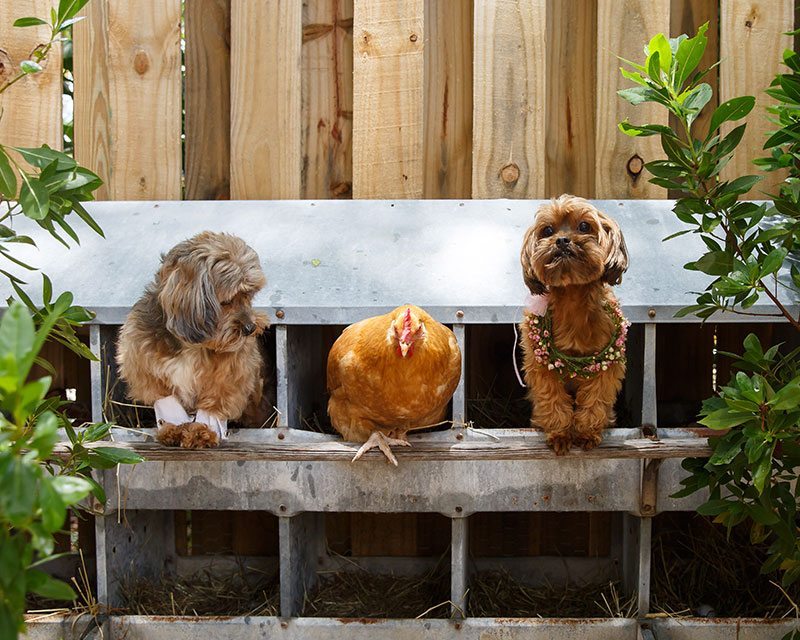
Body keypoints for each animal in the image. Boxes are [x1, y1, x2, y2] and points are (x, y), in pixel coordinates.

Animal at [116, 232, 276, 448]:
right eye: (227, 301)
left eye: (248, 295)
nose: (250, 328)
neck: (191, 344)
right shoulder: (142, 362)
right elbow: (166, 400)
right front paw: (174, 430)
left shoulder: (230, 375)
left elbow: (214, 403)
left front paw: (201, 432)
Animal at [520, 195, 632, 456]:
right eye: (547, 230)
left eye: (584, 226)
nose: (562, 240)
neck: (573, 297)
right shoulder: (541, 366)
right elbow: (552, 399)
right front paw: (560, 435)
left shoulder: (607, 366)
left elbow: (596, 400)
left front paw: (586, 433)